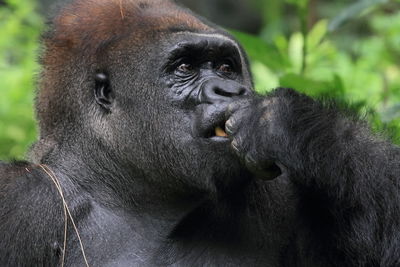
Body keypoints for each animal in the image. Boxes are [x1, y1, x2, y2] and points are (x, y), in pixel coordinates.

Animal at [0, 0, 400, 266]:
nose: (231, 91)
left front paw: (289, 124)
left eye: (225, 67)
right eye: (184, 67)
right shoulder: (23, 199)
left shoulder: (287, 192)